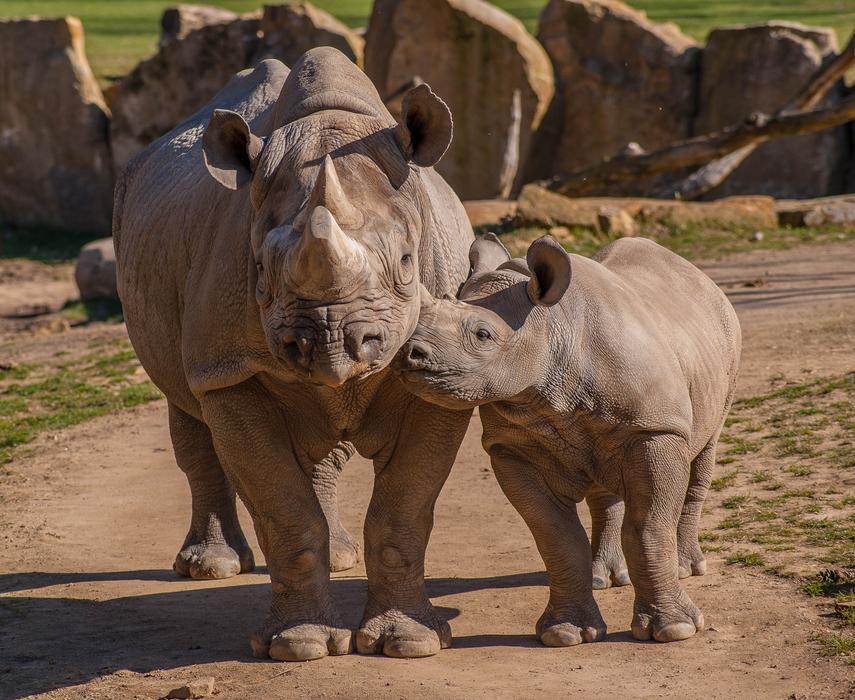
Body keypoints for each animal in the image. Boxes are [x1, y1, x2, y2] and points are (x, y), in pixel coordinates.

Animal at [114, 48, 475, 661]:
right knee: (186, 405)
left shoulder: (441, 378)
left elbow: (403, 509)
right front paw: (300, 646)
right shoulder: (229, 369)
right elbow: (284, 510)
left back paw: (340, 557)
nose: (330, 343)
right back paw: (210, 567)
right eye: (259, 270)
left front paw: (409, 642)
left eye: (408, 263)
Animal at [396, 234, 741, 645]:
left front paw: (675, 629)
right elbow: (556, 537)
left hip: (723, 349)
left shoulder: (655, 428)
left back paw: (689, 567)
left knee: (703, 454)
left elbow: (648, 527)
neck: (551, 327)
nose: (410, 353)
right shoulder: (512, 447)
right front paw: (566, 634)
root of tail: (702, 279)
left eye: (483, 335)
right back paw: (603, 579)